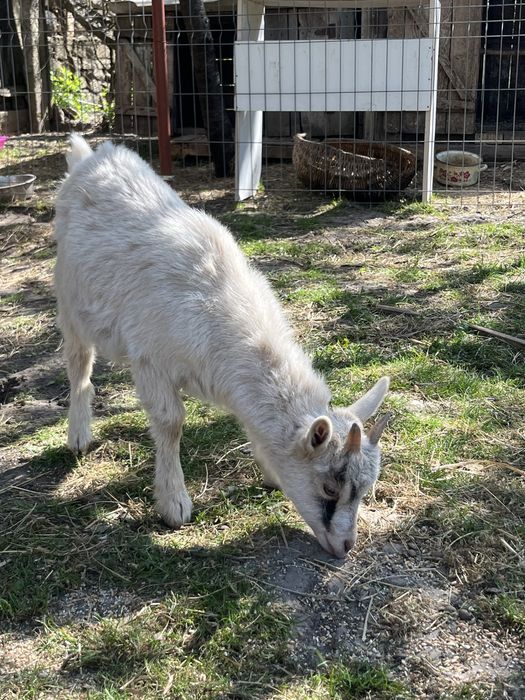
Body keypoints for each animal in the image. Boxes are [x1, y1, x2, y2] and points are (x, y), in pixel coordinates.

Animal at [54, 135, 391, 558]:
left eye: (365, 489)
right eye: (330, 487)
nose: (346, 546)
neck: (221, 307)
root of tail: (91, 155)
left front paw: (270, 471)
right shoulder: (151, 359)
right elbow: (170, 423)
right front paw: (174, 504)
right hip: (70, 299)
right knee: (78, 364)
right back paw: (78, 435)